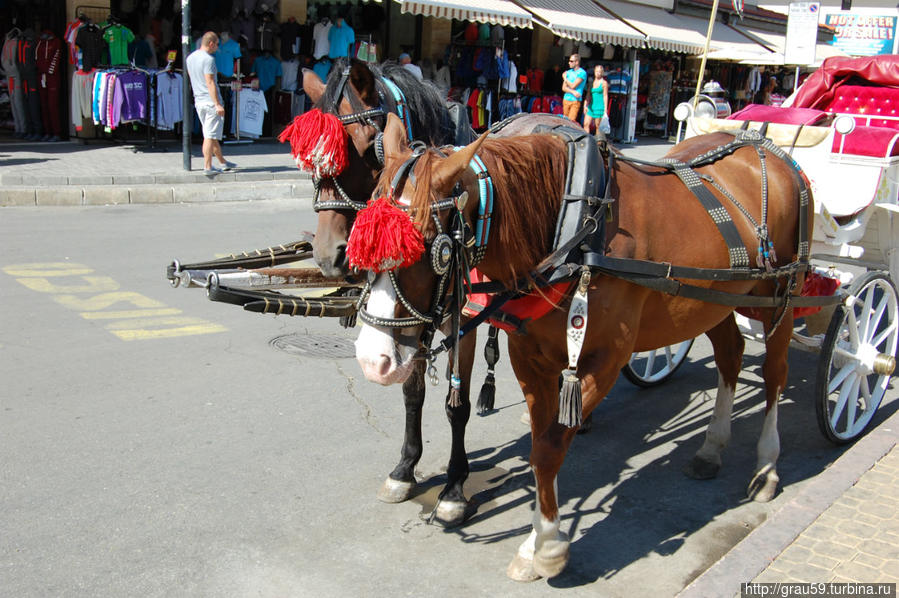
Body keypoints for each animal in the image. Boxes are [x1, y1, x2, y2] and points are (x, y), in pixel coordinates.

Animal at [354, 115, 816, 584]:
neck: (575, 232)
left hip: (782, 294)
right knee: (730, 356)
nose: (373, 361)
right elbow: (541, 447)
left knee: (775, 375)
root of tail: (765, 146)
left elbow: (550, 449)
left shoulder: (605, 360)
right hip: (714, 302)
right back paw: (711, 448)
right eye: (362, 239)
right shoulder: (530, 357)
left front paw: (545, 547)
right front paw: (543, 532)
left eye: (436, 250)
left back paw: (766, 466)